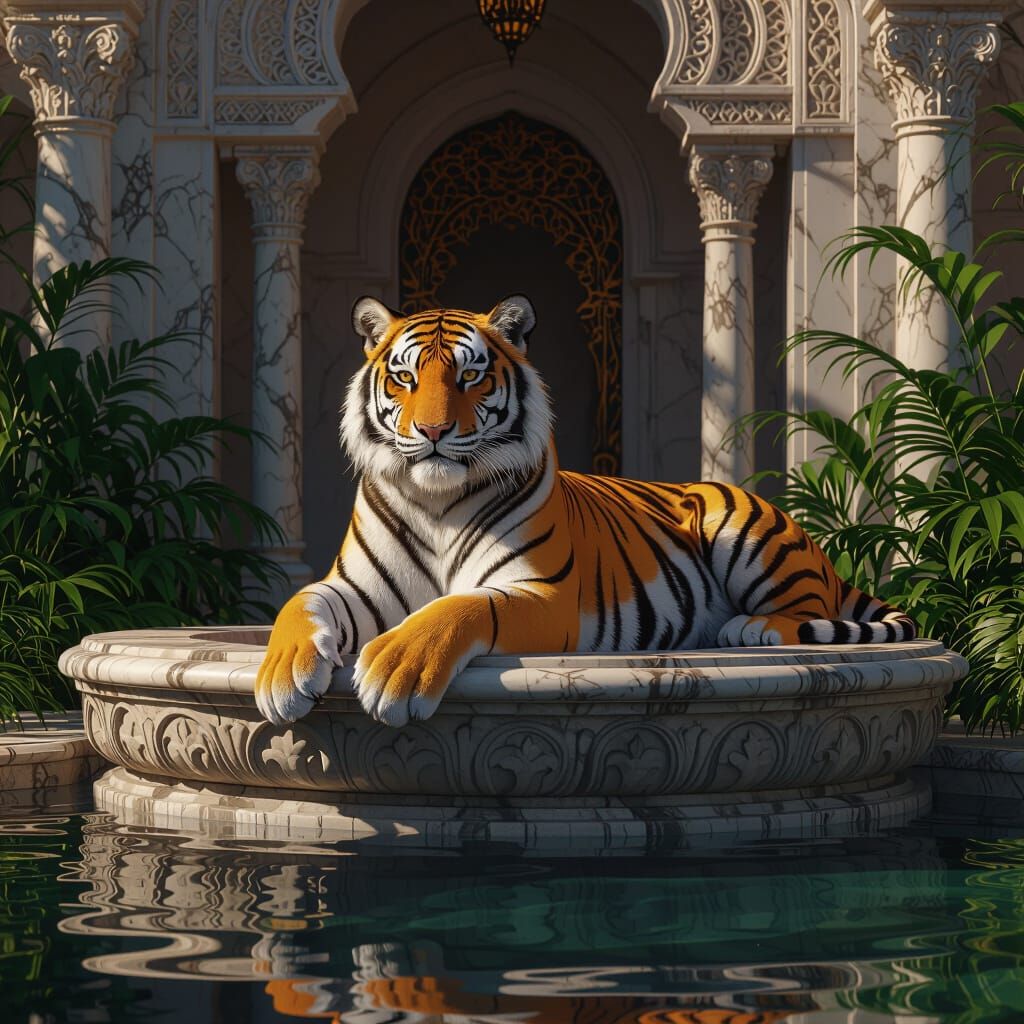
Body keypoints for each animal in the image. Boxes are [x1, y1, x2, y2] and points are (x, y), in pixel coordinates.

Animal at [254, 294, 915, 727]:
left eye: (470, 377)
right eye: (405, 379)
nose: (434, 431)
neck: (436, 500)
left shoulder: (540, 593)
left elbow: (458, 609)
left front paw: (396, 667)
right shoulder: (357, 588)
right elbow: (299, 602)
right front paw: (281, 677)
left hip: (744, 529)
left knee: (807, 610)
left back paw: (751, 629)